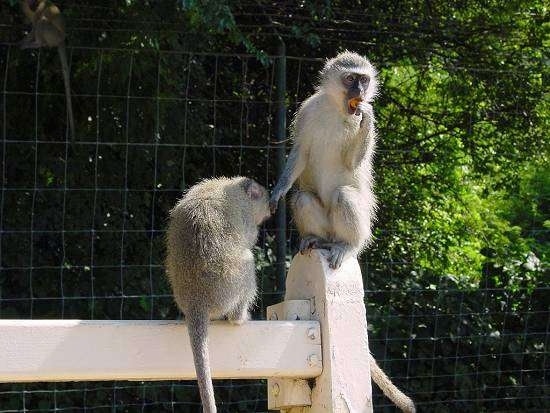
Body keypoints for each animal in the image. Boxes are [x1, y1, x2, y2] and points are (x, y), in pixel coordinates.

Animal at [19, 0, 75, 140]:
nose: (32, 4)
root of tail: (62, 40)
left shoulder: (39, 8)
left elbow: (35, 24)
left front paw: (22, 41)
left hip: (53, 35)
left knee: (42, 22)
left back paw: (37, 43)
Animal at [272, 51, 418, 412]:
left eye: (364, 80)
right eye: (351, 78)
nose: (361, 93)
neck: (338, 110)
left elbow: (353, 164)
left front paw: (369, 116)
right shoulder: (307, 111)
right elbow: (300, 154)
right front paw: (278, 191)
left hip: (357, 224)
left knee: (345, 195)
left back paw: (346, 246)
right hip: (323, 222)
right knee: (304, 196)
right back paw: (315, 240)